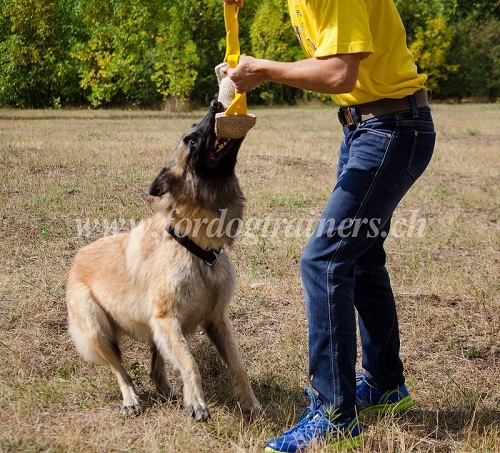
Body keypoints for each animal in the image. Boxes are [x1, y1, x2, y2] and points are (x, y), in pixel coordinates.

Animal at [65, 100, 262, 420]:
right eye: (191, 140)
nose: (216, 103)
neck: (195, 247)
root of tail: (77, 258)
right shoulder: (168, 319)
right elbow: (191, 364)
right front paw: (197, 403)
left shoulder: (216, 319)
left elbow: (237, 364)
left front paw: (250, 404)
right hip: (98, 329)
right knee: (121, 370)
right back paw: (131, 399)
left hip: (154, 328)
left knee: (156, 372)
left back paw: (170, 392)